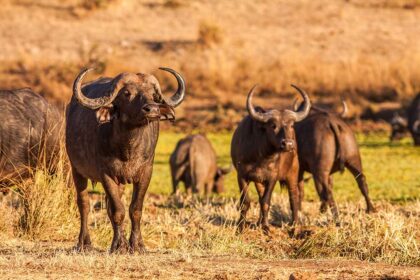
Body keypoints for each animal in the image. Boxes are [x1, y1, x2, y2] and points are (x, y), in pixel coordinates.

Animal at [66, 67, 185, 252]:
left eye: (153, 94)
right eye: (127, 93)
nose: (152, 110)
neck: (128, 148)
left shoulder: (146, 173)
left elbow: (134, 209)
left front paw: (136, 245)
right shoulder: (106, 174)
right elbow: (117, 211)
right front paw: (119, 246)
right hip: (76, 170)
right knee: (83, 204)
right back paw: (84, 243)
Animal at [231, 84, 310, 233]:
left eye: (291, 125)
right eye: (273, 125)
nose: (288, 144)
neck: (261, 157)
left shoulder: (272, 177)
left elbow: (266, 201)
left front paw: (266, 227)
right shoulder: (242, 175)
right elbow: (246, 202)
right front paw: (241, 226)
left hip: (293, 173)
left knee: (294, 198)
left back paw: (295, 226)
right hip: (259, 181)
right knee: (261, 195)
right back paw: (258, 222)